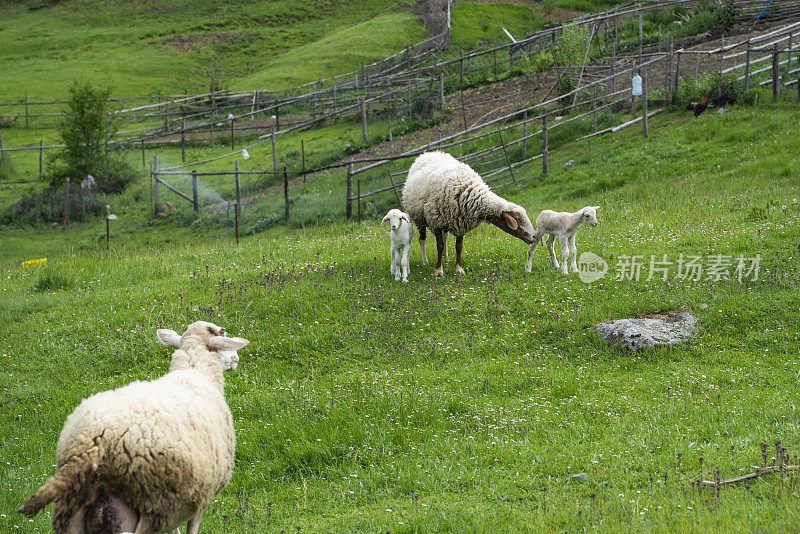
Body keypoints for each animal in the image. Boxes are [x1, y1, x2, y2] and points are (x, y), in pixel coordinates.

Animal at [18, 322, 250, 534]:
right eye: (223, 335)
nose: (236, 359)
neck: (196, 372)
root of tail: (94, 440)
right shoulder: (199, 499)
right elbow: (191, 528)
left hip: (71, 509)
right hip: (154, 507)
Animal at [404, 149, 536, 278]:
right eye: (518, 220)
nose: (534, 236)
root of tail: (430, 153)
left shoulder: (460, 223)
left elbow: (459, 247)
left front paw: (459, 269)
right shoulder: (435, 222)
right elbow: (439, 246)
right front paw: (438, 271)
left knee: (445, 236)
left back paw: (445, 257)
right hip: (420, 218)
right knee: (422, 239)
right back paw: (424, 260)